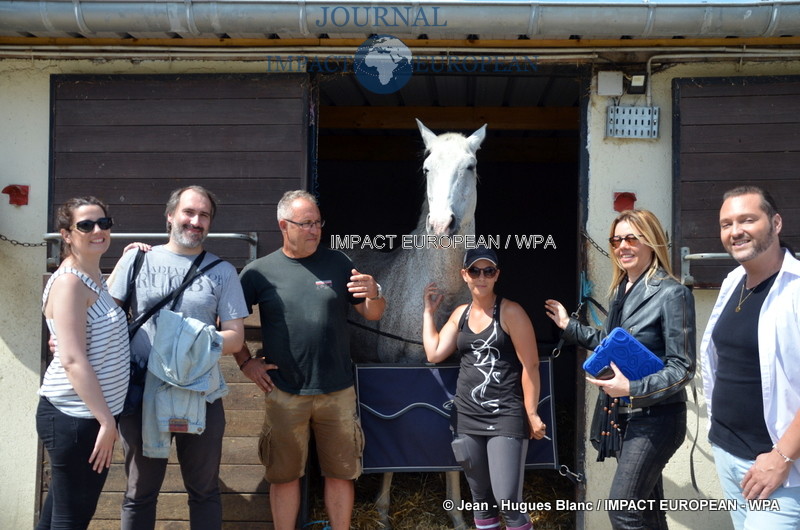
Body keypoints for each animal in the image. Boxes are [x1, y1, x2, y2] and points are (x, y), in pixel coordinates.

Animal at [350, 119, 488, 528]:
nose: (442, 224)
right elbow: (392, 450)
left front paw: (457, 514)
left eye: (470, 166)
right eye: (427, 169)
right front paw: (381, 511)